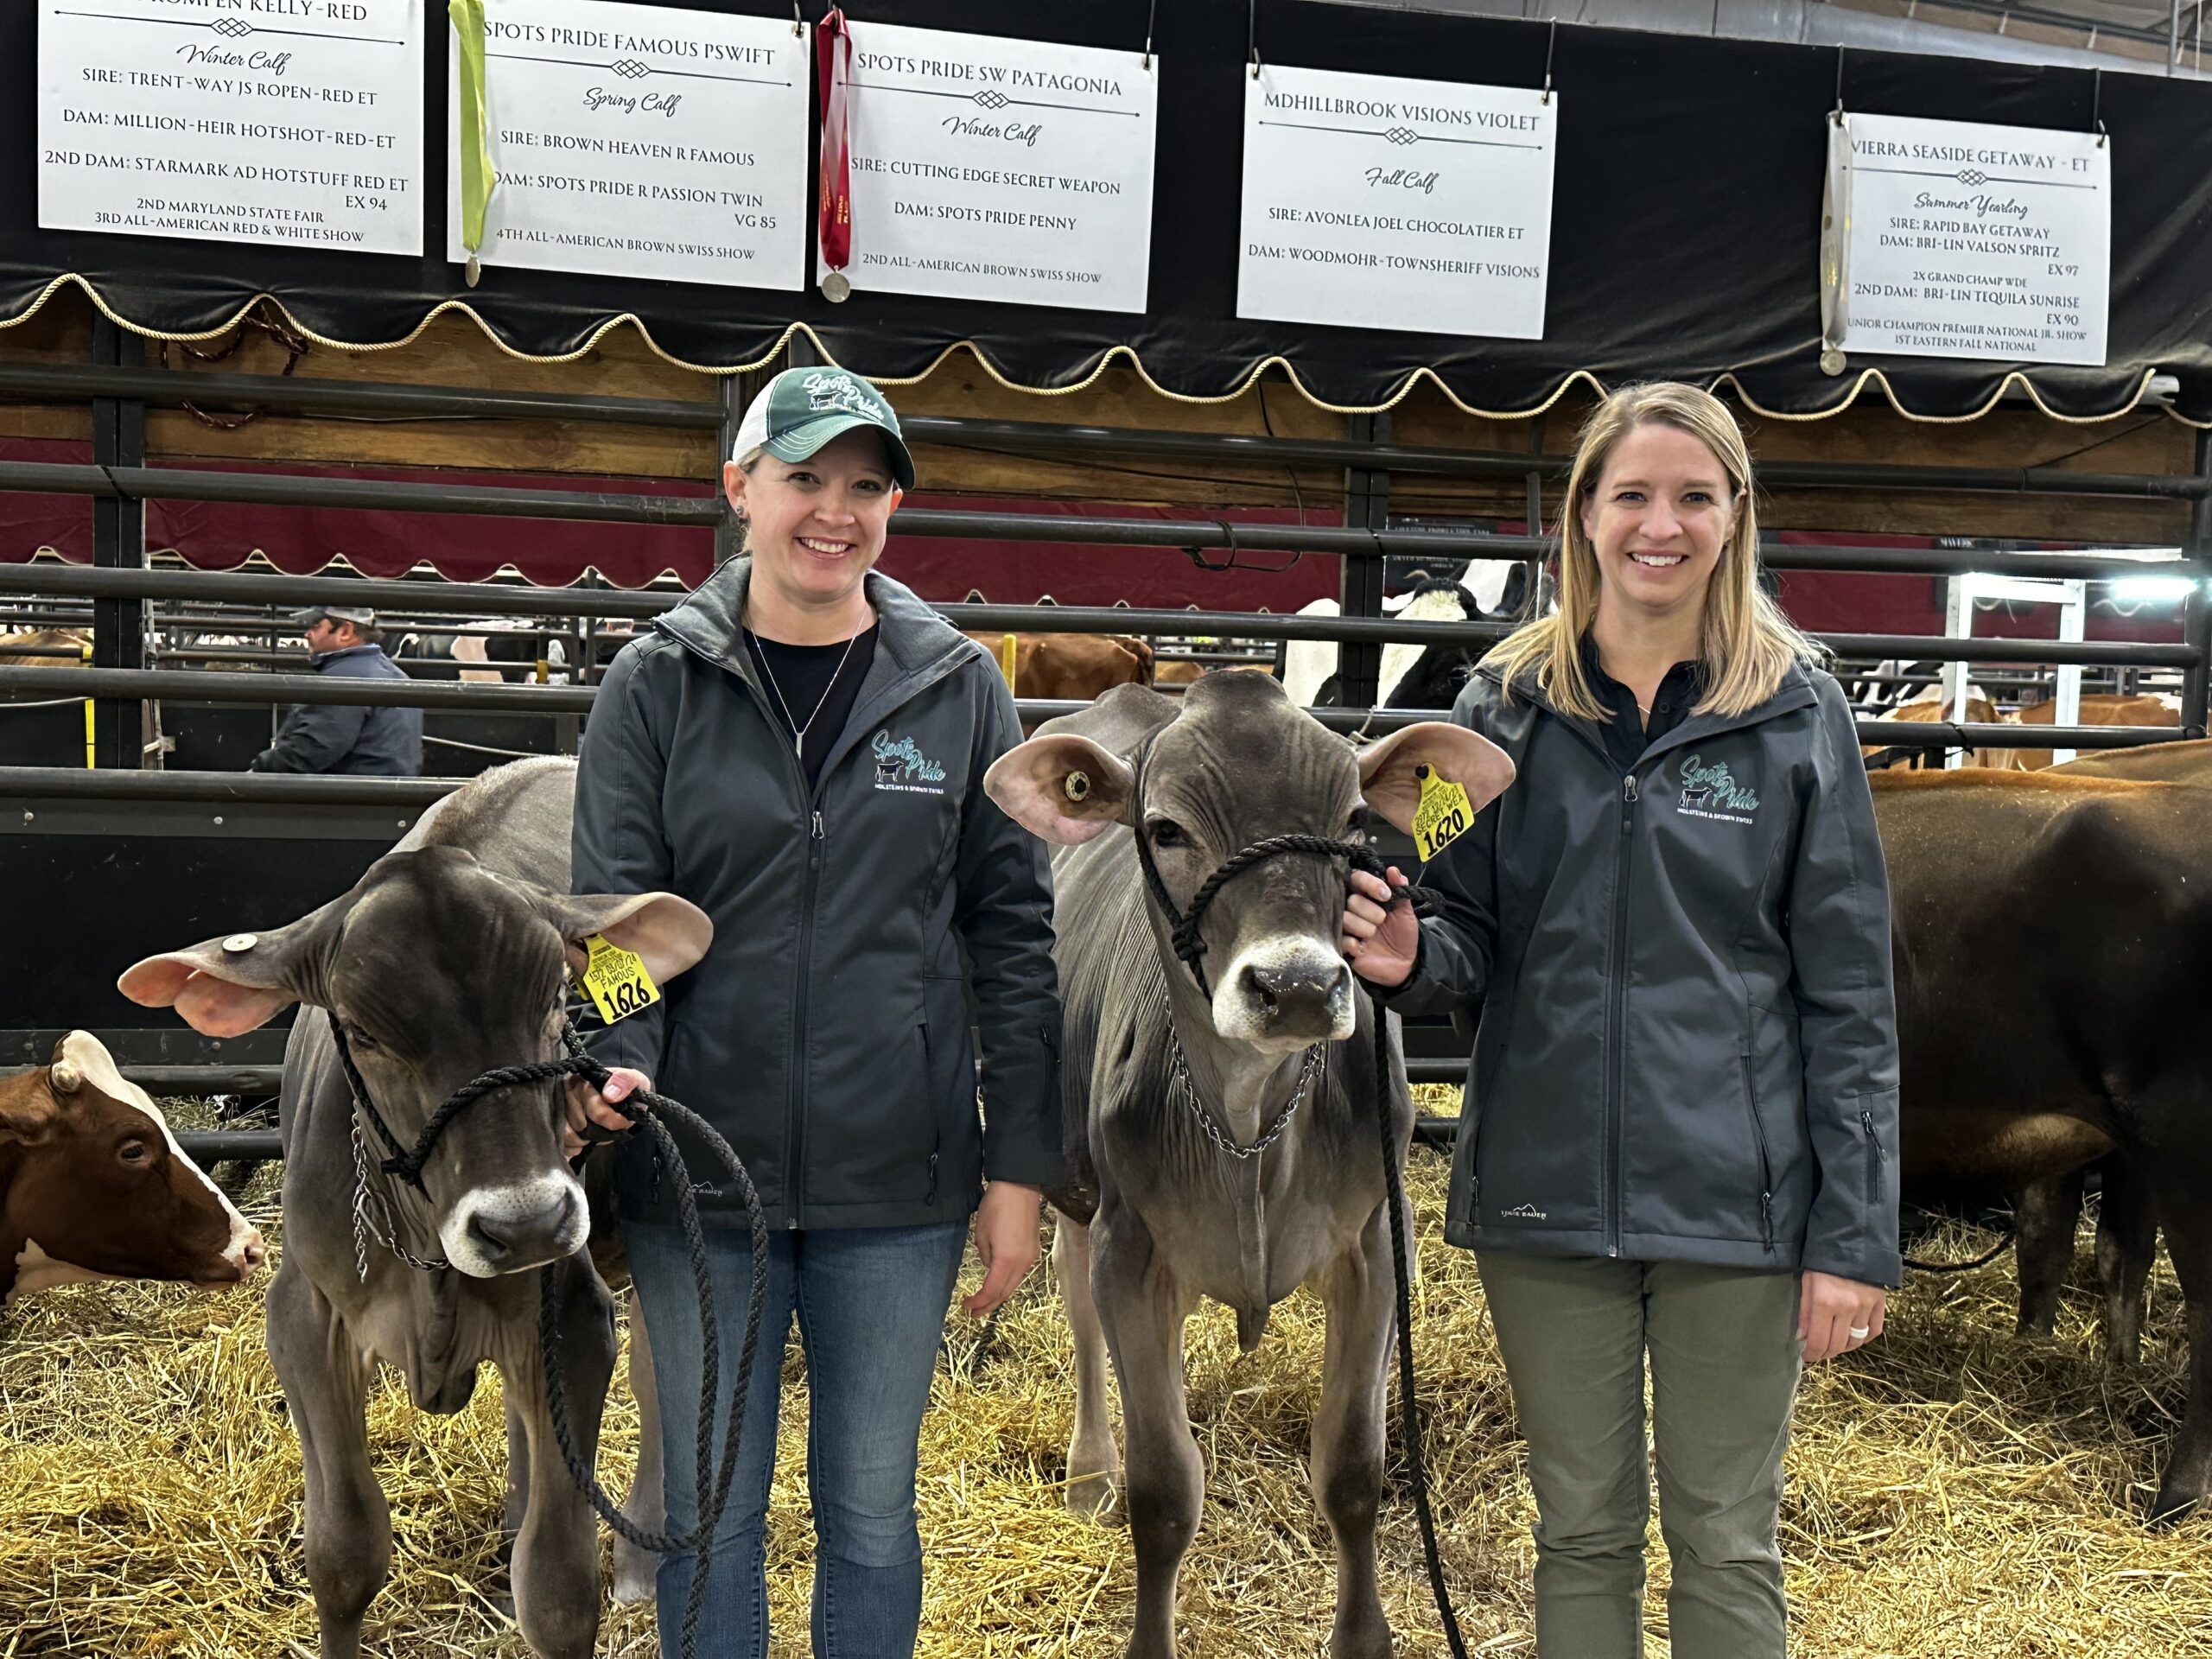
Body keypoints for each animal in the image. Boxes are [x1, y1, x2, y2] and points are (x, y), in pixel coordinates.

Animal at [121, 760, 708, 1654]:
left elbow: (558, 1593)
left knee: (657, 1380)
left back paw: (641, 1561)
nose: (525, 1223)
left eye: (555, 1002)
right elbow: (343, 1553)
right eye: (362, 1032)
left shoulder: (573, 1314)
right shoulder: (306, 1316)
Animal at [995, 677, 1513, 1659]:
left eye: (1356, 821)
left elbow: (1352, 1471)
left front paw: (1363, 1640)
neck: (1246, 1123)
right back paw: (1090, 1472)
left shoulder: (1374, 1246)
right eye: (1164, 828)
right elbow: (1164, 1493)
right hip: (1080, 1198)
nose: (1299, 988)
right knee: (1078, 1311)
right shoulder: (1132, 1251)